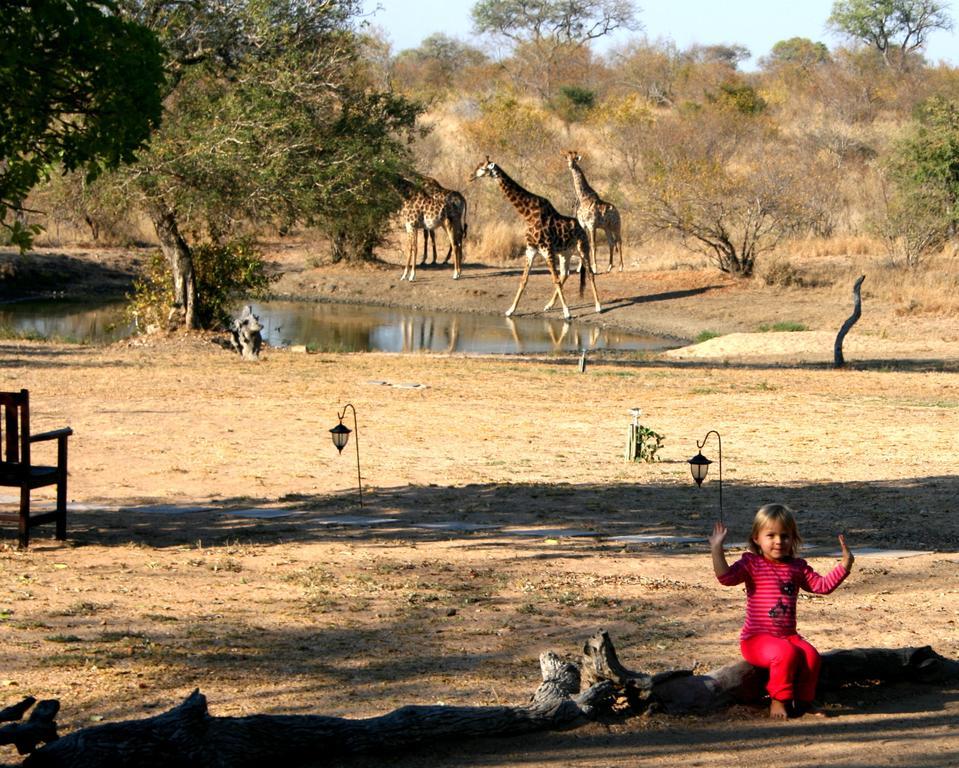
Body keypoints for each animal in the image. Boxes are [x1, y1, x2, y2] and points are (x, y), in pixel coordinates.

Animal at [472, 158, 600, 320]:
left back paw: (598, 306)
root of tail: (582, 229)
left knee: (589, 274)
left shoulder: (547, 250)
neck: (528, 215)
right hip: (565, 253)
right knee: (565, 274)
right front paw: (510, 310)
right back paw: (548, 305)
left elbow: (554, 280)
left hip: (583, 249)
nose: (471, 176)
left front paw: (567, 313)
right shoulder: (531, 250)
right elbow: (523, 280)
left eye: (482, 168)